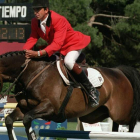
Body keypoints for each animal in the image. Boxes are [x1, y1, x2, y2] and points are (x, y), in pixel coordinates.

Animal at [0, 51, 140, 140]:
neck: (31, 73)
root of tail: (119, 71)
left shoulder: (49, 107)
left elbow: (27, 119)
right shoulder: (24, 108)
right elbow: (9, 120)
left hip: (121, 113)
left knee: (131, 122)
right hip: (97, 114)